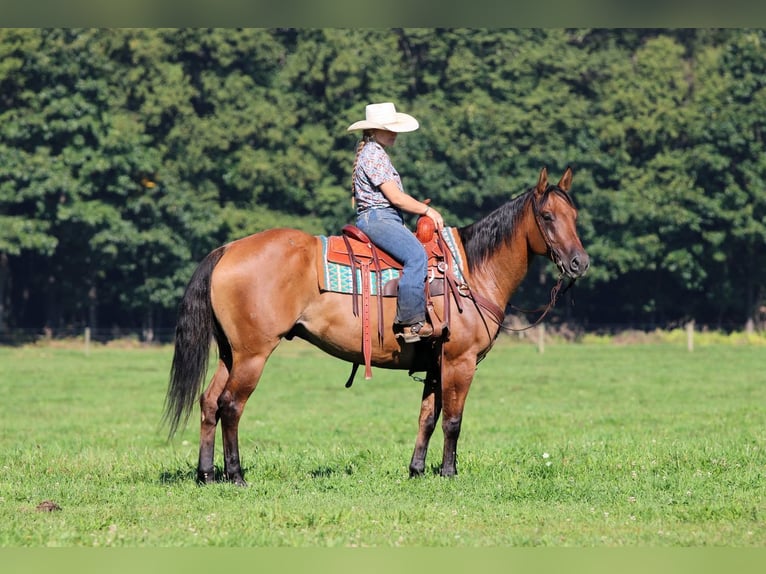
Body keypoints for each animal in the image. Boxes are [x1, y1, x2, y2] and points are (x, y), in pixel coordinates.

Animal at [163, 167, 589, 485]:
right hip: (253, 354)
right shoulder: (459, 361)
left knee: (209, 402)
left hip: (230, 353)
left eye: (575, 217)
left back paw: (206, 474)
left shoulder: (436, 365)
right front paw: (449, 473)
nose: (579, 263)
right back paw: (235, 475)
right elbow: (452, 420)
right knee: (231, 405)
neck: (471, 271)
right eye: (547, 217)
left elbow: (427, 417)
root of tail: (227, 249)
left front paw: (417, 471)